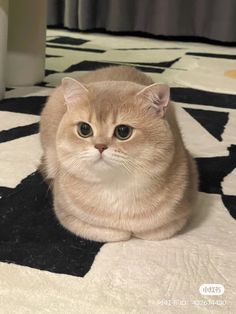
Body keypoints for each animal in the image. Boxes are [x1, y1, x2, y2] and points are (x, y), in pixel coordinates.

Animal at [39, 65, 198, 243]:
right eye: (84, 129)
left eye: (123, 131)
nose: (100, 146)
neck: (114, 187)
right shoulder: (65, 213)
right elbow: (110, 232)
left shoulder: (181, 213)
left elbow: (153, 231)